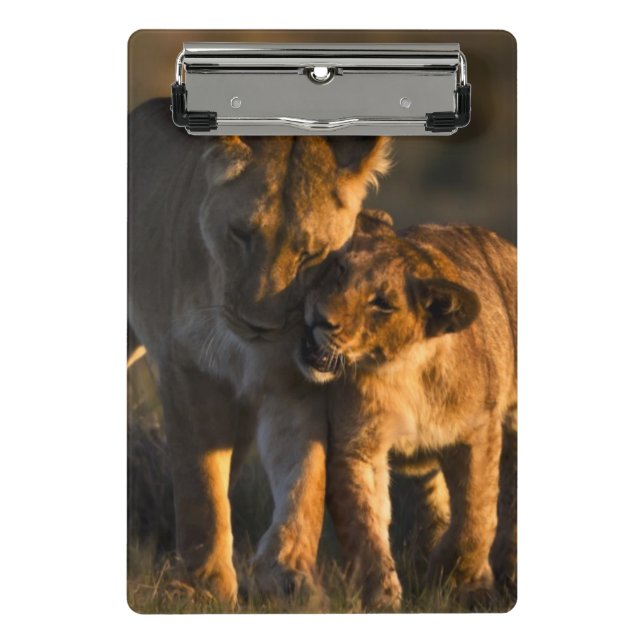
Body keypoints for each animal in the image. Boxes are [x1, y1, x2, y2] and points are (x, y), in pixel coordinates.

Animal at [128, 99, 391, 606]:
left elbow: (306, 475)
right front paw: (205, 585)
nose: (259, 326)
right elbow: (200, 483)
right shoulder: (189, 371)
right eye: (240, 234)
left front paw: (288, 573)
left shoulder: (291, 382)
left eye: (312, 254)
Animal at [295, 210, 517, 610]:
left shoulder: (478, 433)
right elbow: (365, 525)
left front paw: (458, 581)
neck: (405, 371)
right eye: (339, 269)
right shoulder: (357, 445)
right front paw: (380, 597)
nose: (321, 318)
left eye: (382, 304)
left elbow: (476, 517)